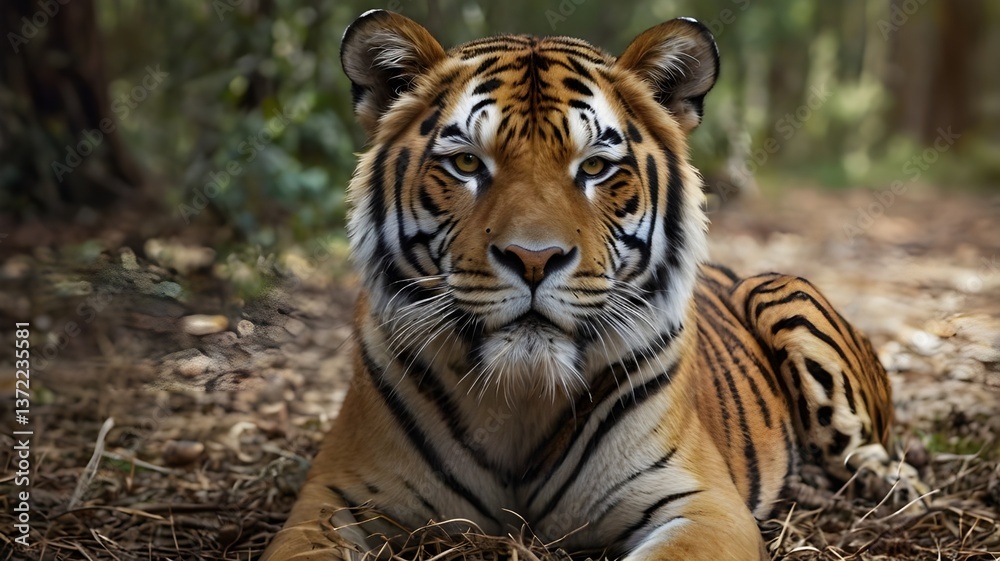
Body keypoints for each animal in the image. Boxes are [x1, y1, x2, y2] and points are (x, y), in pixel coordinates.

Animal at [262, 10, 907, 561]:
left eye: (594, 167)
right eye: (467, 164)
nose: (534, 258)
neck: (518, 400)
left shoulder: (702, 504)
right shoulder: (330, 498)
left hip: (782, 292)